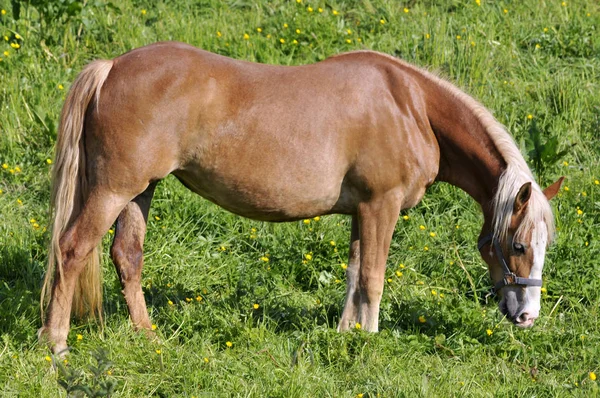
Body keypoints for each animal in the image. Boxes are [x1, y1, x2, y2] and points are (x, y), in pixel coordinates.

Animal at [37, 42, 564, 354]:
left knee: (127, 255)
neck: (411, 105)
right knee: (71, 250)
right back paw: (57, 345)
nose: (528, 316)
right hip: (113, 190)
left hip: (140, 191)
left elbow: (353, 274)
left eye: (545, 247)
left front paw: (347, 334)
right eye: (518, 245)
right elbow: (373, 278)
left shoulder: (361, 210)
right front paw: (370, 343)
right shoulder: (382, 205)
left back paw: (148, 336)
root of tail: (111, 68)